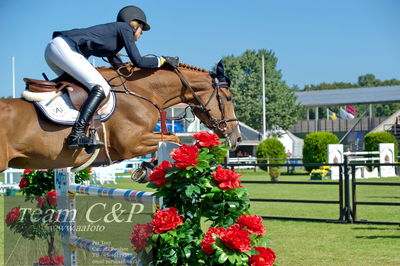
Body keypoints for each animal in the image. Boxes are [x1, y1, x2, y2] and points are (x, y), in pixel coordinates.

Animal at [0, 61, 241, 171]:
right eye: (229, 98)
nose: (237, 138)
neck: (142, 91)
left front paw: (146, 168)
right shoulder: (132, 144)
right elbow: (173, 139)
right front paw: (148, 168)